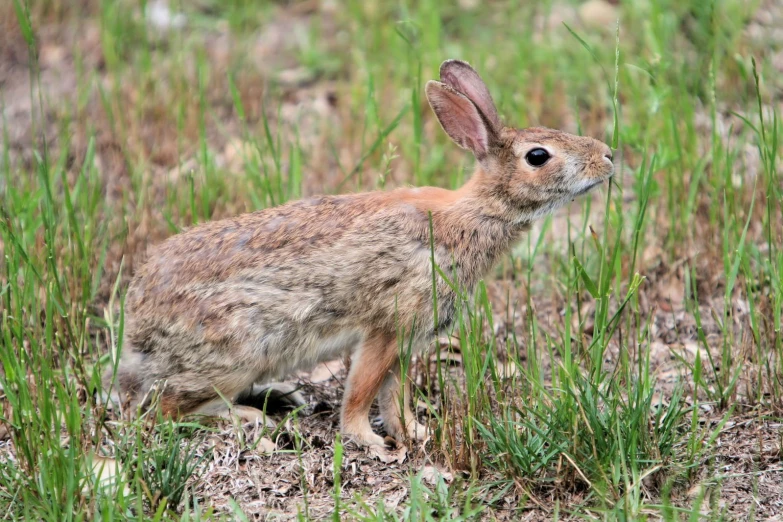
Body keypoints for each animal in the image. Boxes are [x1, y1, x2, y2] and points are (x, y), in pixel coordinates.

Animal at [107, 59, 616, 450]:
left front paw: (415, 434)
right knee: (164, 408)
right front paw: (368, 441)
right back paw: (248, 418)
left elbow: (395, 397)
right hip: (239, 350)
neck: (475, 213)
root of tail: (138, 324)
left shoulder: (410, 342)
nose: (608, 156)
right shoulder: (386, 329)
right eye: (538, 156)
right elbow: (362, 390)